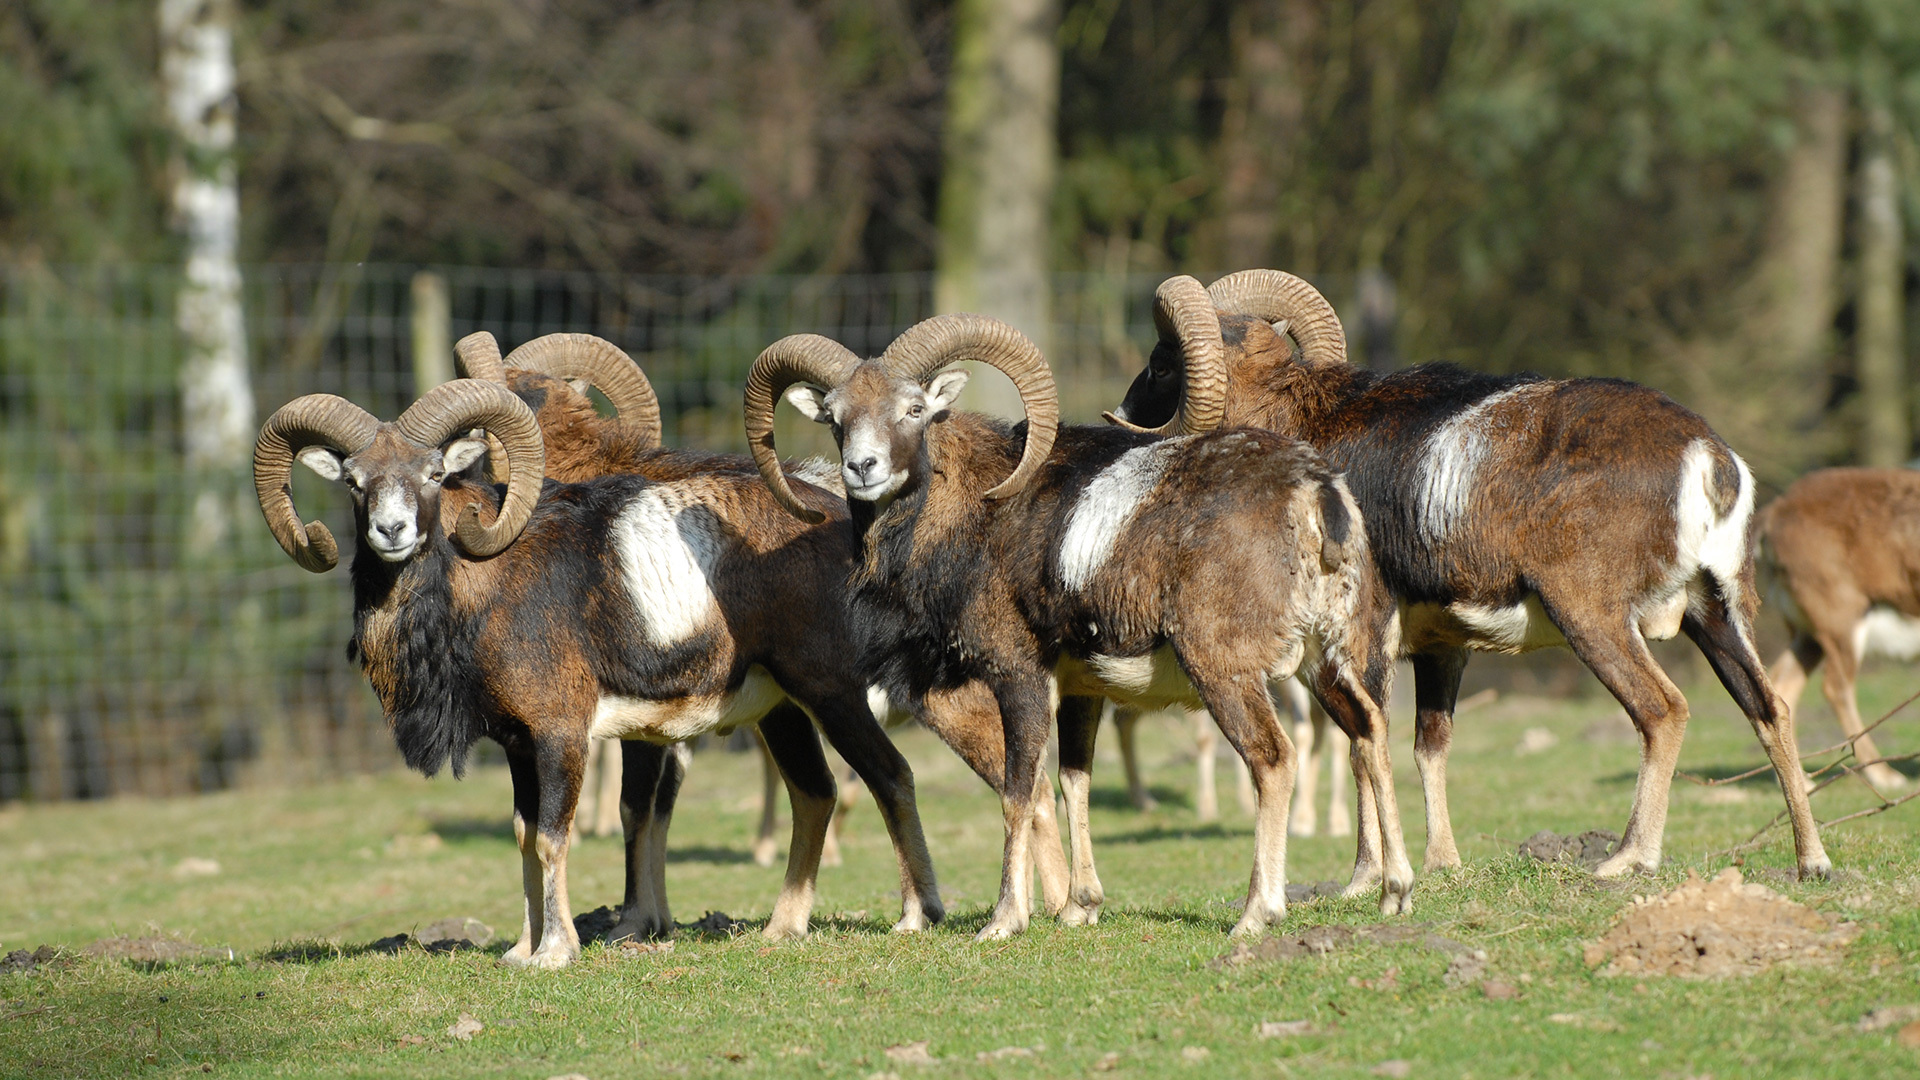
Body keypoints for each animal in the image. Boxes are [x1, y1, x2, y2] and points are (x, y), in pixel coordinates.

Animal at [255, 380, 944, 968]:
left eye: (433, 474)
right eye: (354, 481)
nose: (391, 530)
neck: (484, 588)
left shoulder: (560, 735)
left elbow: (554, 837)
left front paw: (555, 954)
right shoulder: (517, 746)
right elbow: (524, 835)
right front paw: (520, 950)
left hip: (831, 694)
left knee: (891, 776)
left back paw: (918, 916)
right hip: (781, 712)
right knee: (815, 795)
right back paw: (782, 928)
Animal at [741, 307, 1405, 937]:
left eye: (914, 408)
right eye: (835, 417)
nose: (863, 467)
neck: (972, 513)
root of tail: (1313, 494)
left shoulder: (1017, 677)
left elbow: (1018, 790)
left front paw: (1004, 921)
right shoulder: (1083, 689)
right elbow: (1069, 782)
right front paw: (1080, 909)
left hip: (1227, 672)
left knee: (1274, 759)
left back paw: (1256, 914)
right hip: (1329, 660)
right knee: (1369, 732)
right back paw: (1395, 892)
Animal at [1121, 269, 1835, 883]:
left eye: (1161, 362)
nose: (1125, 407)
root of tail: (1707, 459)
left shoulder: (1358, 644)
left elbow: (1363, 743)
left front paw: (1364, 879)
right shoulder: (1443, 648)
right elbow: (1426, 747)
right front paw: (1441, 864)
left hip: (1595, 620)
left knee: (1663, 712)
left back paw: (1627, 859)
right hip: (1715, 614)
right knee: (1769, 708)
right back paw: (1812, 862)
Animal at [1758, 466, 1912, 787]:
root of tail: (1774, 512)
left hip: (1807, 629)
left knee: (1783, 684)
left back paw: (1801, 779)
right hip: (1839, 616)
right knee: (1836, 686)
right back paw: (1882, 774)